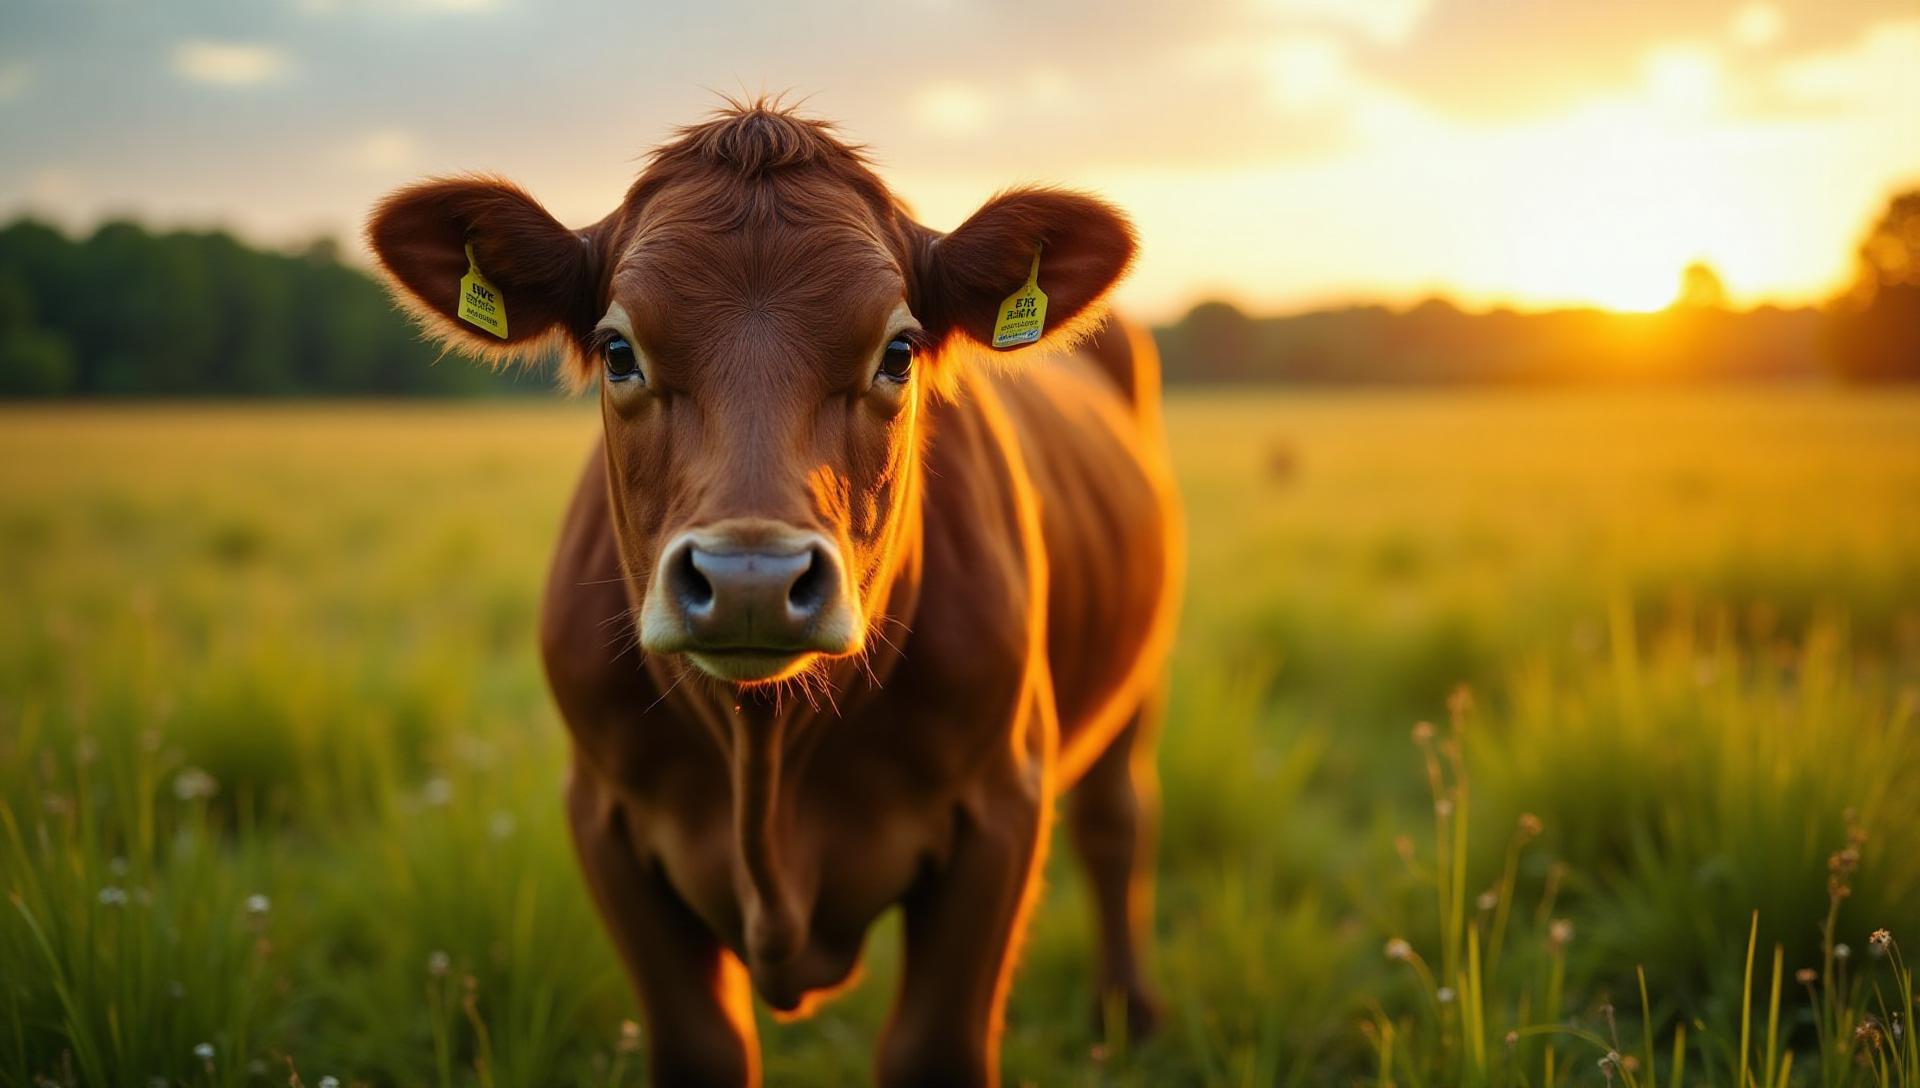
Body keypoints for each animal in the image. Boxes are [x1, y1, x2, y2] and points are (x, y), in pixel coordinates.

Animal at [366, 100, 1181, 1087]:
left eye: (899, 352)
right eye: (618, 350)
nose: (747, 580)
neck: (767, 761)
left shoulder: (1002, 805)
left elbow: (934, 1046)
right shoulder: (603, 814)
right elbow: (702, 1046)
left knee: (1117, 822)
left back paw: (1128, 1012)